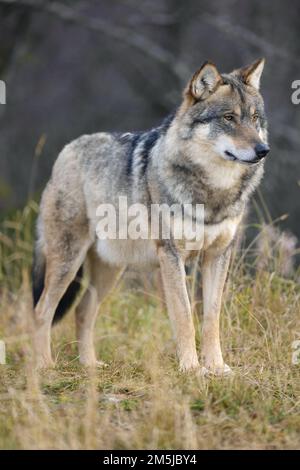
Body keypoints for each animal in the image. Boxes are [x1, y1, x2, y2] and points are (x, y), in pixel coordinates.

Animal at [32, 58, 270, 374]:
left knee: (82, 311)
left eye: (255, 119)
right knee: (41, 310)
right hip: (68, 263)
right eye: (229, 118)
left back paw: (90, 365)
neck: (213, 192)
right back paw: (44, 365)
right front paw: (191, 368)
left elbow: (211, 318)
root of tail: (67, 150)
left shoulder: (218, 255)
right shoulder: (170, 255)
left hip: (110, 270)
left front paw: (217, 368)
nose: (263, 150)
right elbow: (184, 315)